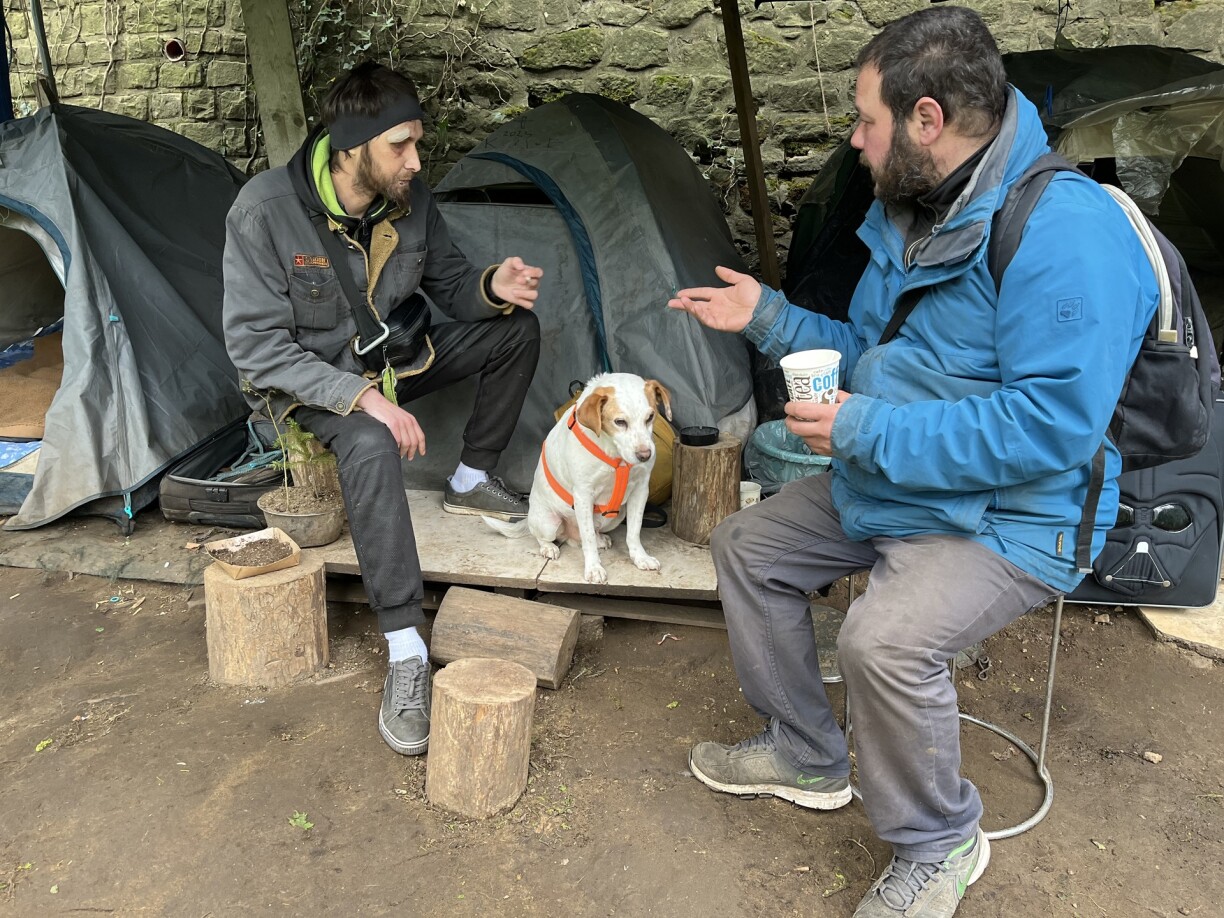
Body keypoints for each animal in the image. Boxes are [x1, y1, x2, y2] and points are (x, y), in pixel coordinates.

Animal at [484, 372, 672, 584]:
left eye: (650, 417)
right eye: (619, 422)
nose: (645, 455)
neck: (614, 454)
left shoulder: (640, 490)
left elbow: (634, 531)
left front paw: (640, 558)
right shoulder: (583, 495)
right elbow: (588, 538)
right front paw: (594, 568)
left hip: (617, 516)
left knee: (586, 535)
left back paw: (600, 539)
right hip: (549, 522)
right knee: (547, 537)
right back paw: (549, 548)